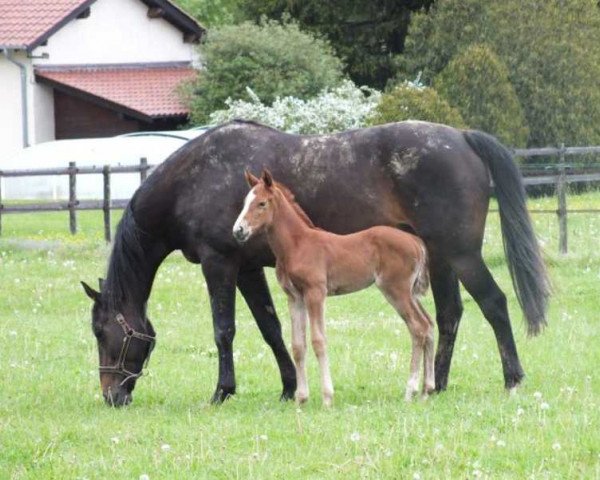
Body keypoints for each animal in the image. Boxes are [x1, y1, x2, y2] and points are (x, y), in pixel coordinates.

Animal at [232, 170, 434, 404]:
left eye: (262, 203)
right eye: (245, 202)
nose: (238, 231)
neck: (297, 245)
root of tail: (415, 241)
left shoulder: (315, 293)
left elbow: (318, 340)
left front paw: (327, 397)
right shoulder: (294, 297)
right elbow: (298, 345)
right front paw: (301, 398)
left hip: (396, 291)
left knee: (418, 327)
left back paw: (410, 390)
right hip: (410, 293)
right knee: (429, 324)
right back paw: (427, 389)